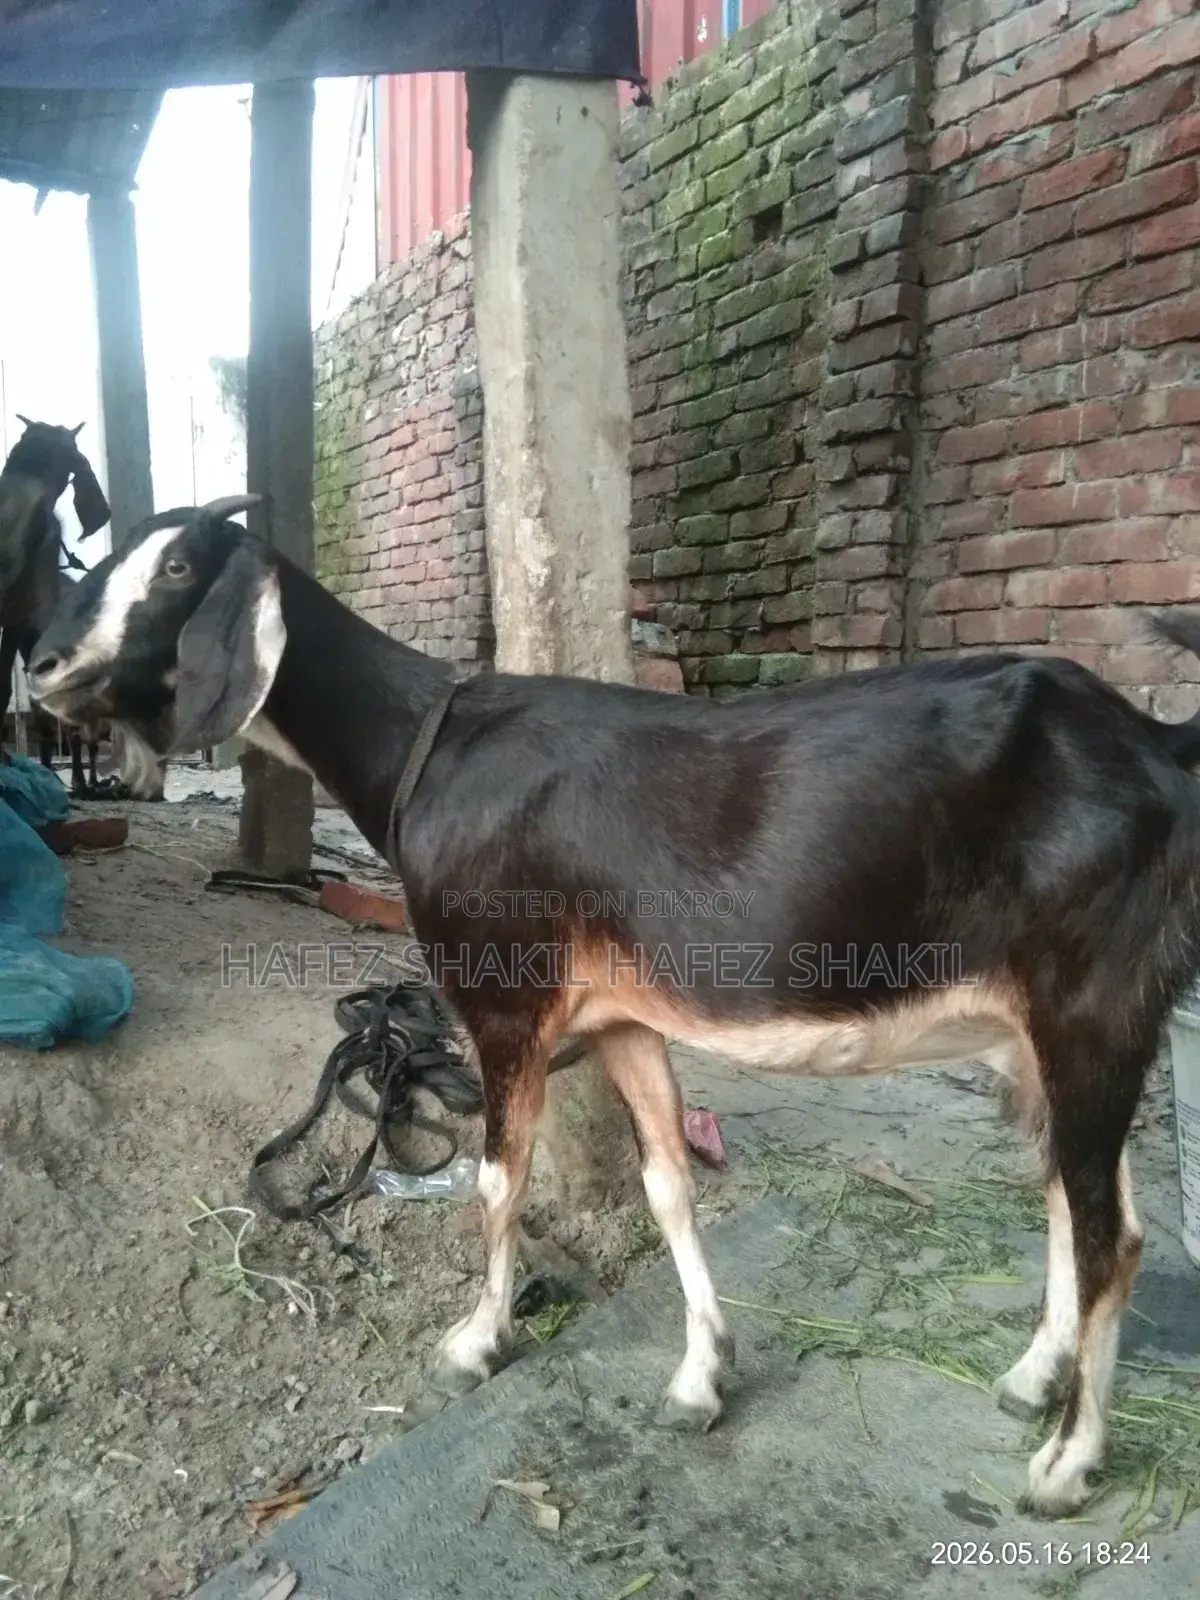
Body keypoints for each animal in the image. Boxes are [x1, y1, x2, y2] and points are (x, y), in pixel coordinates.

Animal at [26, 493, 1200, 1517]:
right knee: (1076, 1201)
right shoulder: (627, 1020)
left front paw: (475, 1343)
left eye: (180, 568)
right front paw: (700, 1377)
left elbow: (497, 1181)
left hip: (1096, 1002)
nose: (39, 663)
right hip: (1037, 1035)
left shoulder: (505, 1000)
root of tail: (1152, 744)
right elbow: (667, 1187)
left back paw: (1065, 1463)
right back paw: (1033, 1380)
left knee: (1113, 1235)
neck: (424, 749)